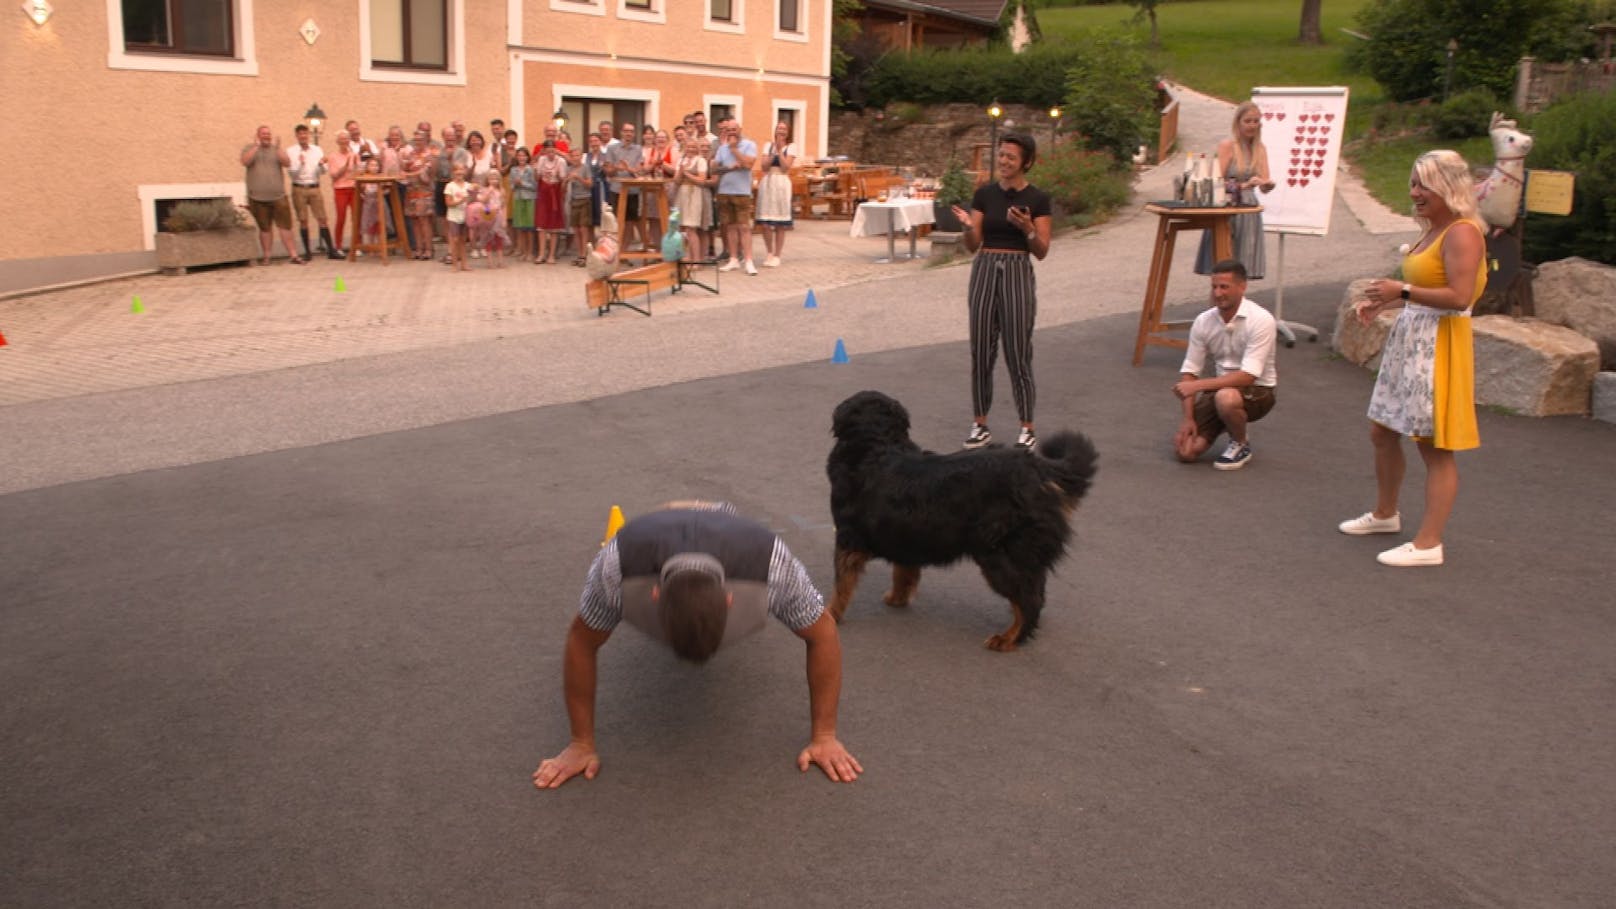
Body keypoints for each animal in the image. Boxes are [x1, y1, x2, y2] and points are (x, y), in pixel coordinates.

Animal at [827, 389, 1105, 650]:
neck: (875, 447)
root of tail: (1038, 469)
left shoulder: (848, 538)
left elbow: (841, 585)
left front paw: (830, 615)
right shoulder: (906, 535)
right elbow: (903, 573)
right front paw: (898, 598)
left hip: (998, 555)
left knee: (1029, 600)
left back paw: (1008, 638)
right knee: (1033, 591)